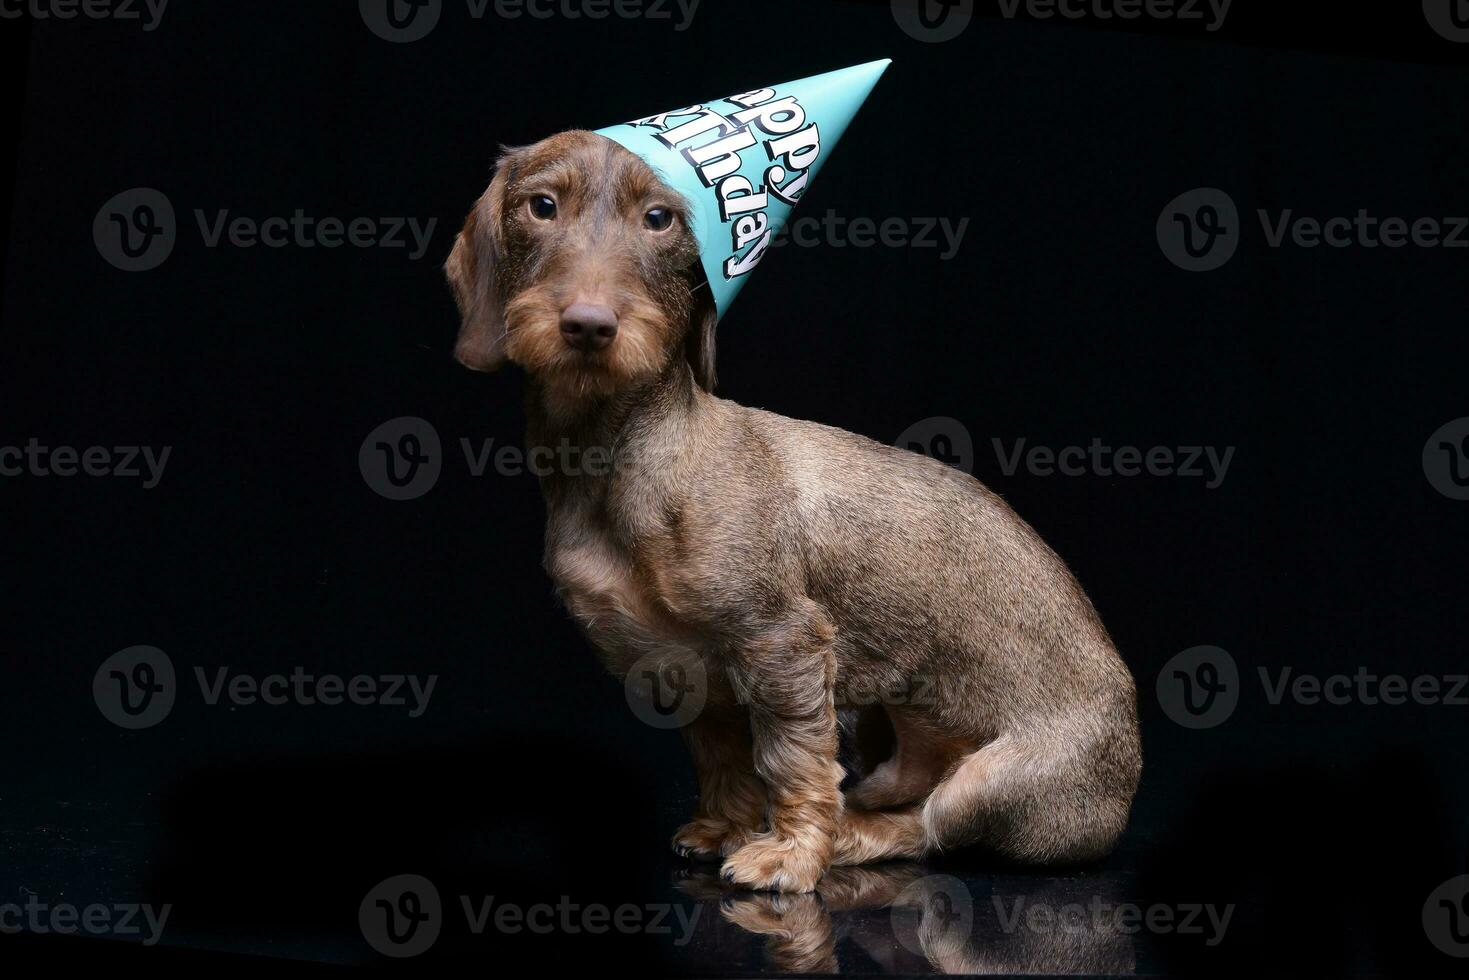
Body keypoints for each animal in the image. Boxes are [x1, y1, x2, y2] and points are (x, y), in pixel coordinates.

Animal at [452, 130, 1139, 899]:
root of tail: (1123, 791)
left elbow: (793, 760)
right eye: (541, 205)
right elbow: (722, 759)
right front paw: (724, 827)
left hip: (992, 783)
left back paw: (852, 835)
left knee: (928, 826)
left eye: (659, 219)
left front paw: (790, 852)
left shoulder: (782, 645)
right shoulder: (690, 672)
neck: (619, 458)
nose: (588, 326)